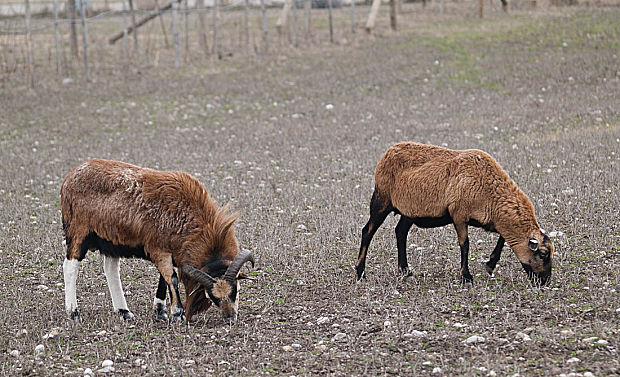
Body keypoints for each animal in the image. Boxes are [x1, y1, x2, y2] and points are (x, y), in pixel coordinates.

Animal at [61, 159, 256, 324]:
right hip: (78, 232)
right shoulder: (158, 249)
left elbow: (164, 278)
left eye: (235, 290)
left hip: (111, 241)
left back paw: (125, 312)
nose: (230, 318)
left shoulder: (169, 251)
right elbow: (172, 278)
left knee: (111, 269)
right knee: (70, 266)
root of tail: (69, 179)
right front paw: (177, 314)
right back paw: (73, 314)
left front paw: (160, 311)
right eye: (213, 296)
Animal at [356, 142, 556, 284]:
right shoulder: (459, 215)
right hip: (381, 199)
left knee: (400, 232)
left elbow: (503, 238)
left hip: (409, 211)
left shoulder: (490, 220)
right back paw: (360, 273)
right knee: (367, 232)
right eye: (543, 253)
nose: (545, 281)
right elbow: (465, 244)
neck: (490, 192)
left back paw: (406, 271)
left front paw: (490, 265)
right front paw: (466, 277)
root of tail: (388, 152)